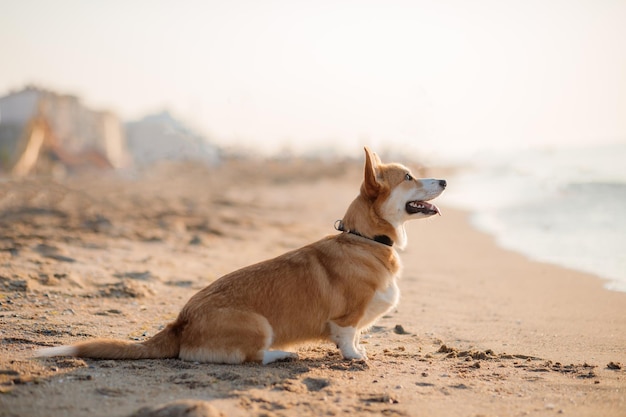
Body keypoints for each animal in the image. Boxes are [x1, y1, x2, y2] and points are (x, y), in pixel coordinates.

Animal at [37, 148, 444, 362]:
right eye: (409, 177)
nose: (443, 180)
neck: (368, 239)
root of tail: (180, 323)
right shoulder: (345, 318)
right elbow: (347, 336)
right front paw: (355, 357)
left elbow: (354, 336)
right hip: (258, 325)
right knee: (255, 356)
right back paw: (283, 354)